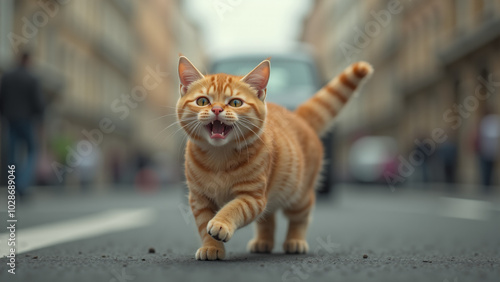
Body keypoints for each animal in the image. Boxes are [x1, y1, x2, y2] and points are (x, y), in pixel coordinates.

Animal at [176, 55, 372, 260]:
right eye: (202, 101)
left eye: (236, 103)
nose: (216, 109)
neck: (219, 157)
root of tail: (296, 116)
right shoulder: (200, 199)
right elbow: (203, 225)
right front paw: (211, 247)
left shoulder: (252, 197)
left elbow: (233, 208)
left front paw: (221, 223)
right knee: (268, 219)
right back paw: (263, 242)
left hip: (299, 196)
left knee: (300, 217)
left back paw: (295, 241)